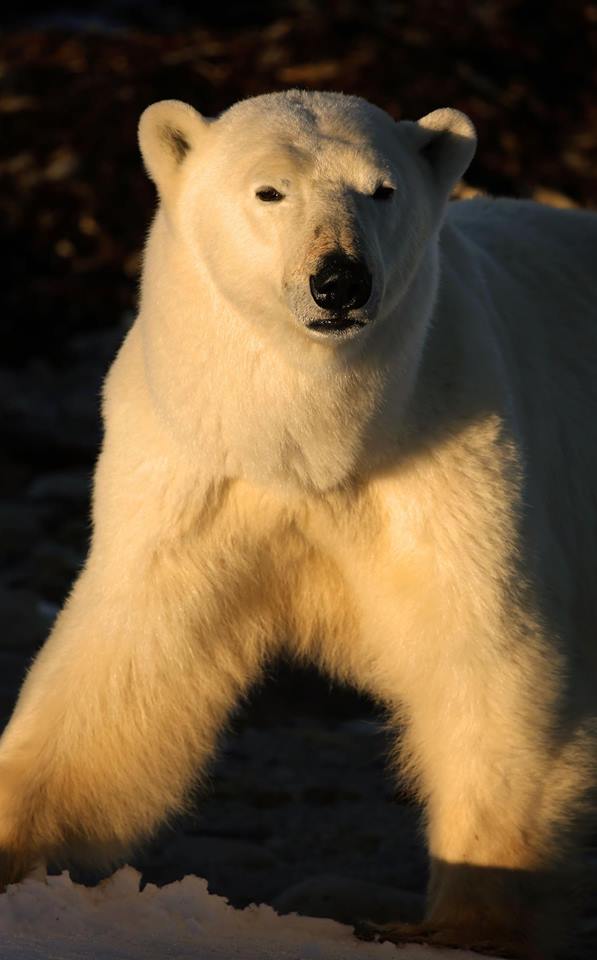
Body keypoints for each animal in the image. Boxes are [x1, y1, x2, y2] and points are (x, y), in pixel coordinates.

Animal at [1, 88, 597, 958]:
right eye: (269, 191)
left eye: (380, 189)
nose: (339, 281)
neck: (314, 441)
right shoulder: (193, 469)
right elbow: (126, 670)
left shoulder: (455, 449)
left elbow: (486, 655)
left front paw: (467, 919)